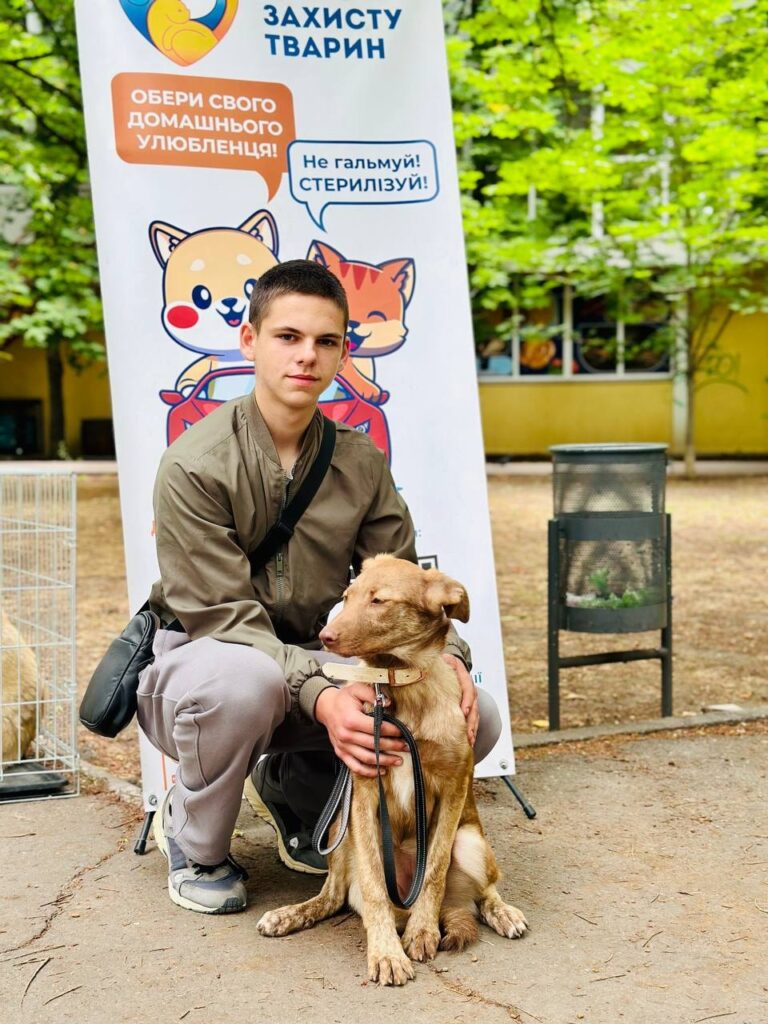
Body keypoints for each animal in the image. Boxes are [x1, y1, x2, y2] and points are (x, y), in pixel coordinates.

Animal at [257, 555, 527, 986]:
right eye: (347, 596)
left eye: (379, 601)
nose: (326, 636)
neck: (399, 687)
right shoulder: (365, 795)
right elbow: (373, 888)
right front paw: (385, 952)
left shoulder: (454, 788)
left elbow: (433, 870)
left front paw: (421, 931)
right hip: (340, 830)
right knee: (333, 896)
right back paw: (291, 915)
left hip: (470, 841)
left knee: (485, 890)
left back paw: (499, 912)